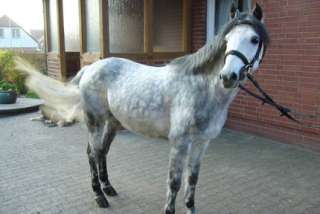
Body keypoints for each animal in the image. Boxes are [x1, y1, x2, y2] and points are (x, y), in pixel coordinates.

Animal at [16, 3, 268, 214]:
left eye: (254, 39)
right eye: (227, 40)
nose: (228, 76)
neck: (201, 89)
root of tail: (91, 68)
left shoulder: (202, 143)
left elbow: (193, 180)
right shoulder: (180, 142)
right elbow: (174, 182)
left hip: (112, 122)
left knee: (102, 152)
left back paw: (108, 188)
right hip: (95, 121)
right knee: (92, 153)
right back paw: (99, 197)